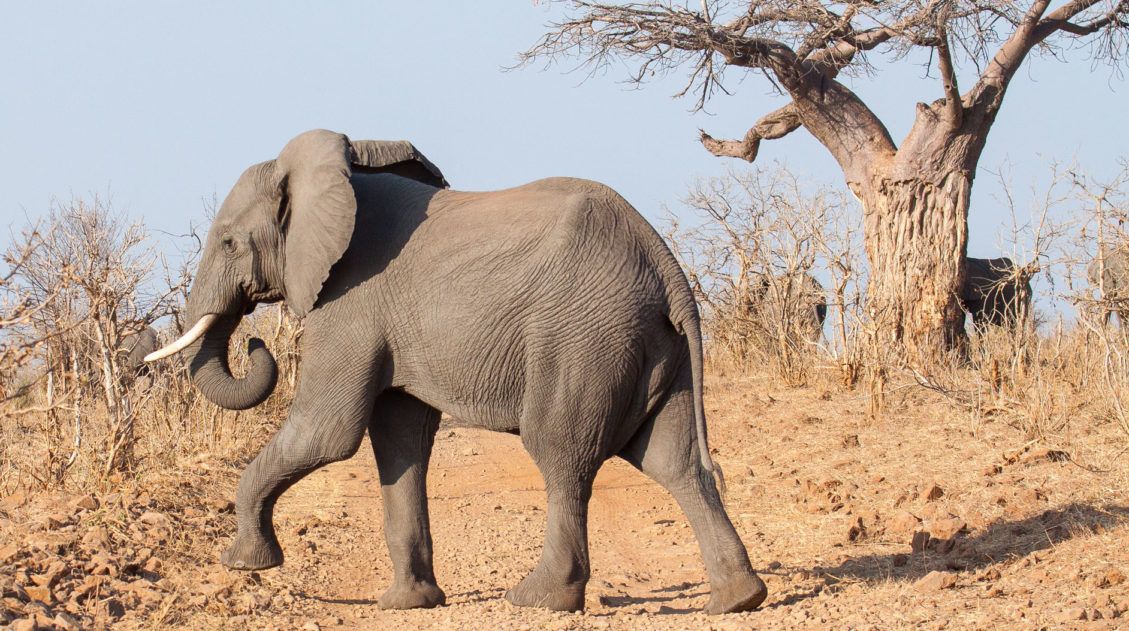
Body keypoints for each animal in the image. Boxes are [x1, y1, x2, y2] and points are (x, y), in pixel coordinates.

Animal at [145, 130, 766, 615]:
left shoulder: (351, 302)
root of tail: (666, 265)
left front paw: (243, 565)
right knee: (672, 460)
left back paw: (539, 600)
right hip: (654, 343)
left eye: (228, 241)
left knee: (562, 454)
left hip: (584, 336)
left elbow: (329, 432)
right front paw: (407, 604)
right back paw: (738, 599)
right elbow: (400, 437)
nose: (254, 340)